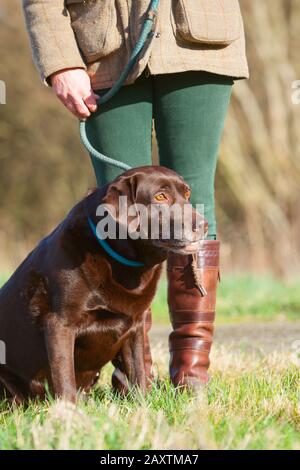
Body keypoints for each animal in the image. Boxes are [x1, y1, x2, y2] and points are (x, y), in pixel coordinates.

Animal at [0, 167, 206, 402]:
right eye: (160, 197)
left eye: (187, 194)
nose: (204, 225)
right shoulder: (59, 323)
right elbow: (64, 377)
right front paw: (67, 411)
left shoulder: (135, 326)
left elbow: (138, 372)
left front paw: (142, 405)